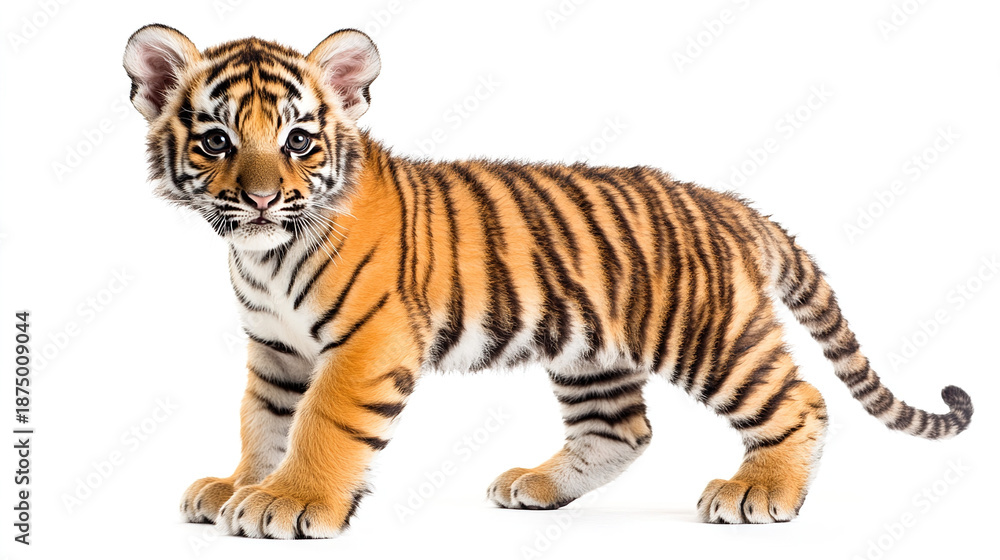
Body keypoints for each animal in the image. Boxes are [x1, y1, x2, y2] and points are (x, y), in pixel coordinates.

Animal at [123, 24, 973, 539]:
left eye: (299, 141)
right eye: (215, 142)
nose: (263, 198)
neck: (265, 256)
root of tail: (728, 203)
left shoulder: (366, 341)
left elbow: (323, 425)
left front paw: (291, 502)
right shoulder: (277, 350)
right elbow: (262, 421)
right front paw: (236, 485)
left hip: (708, 336)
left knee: (797, 401)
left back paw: (761, 493)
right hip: (593, 353)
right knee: (621, 431)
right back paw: (538, 486)